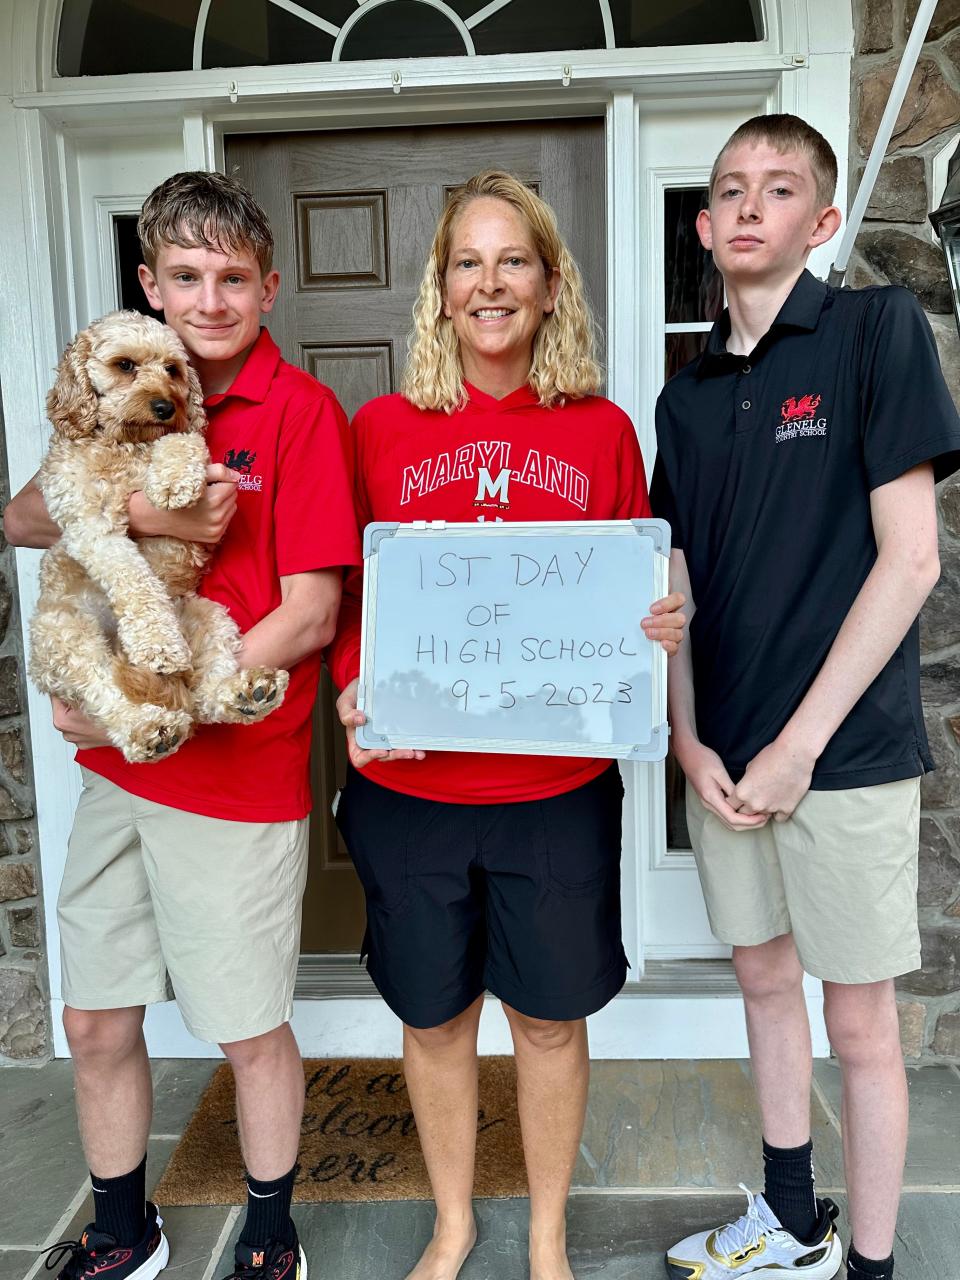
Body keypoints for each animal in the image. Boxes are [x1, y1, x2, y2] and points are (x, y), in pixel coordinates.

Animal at [28, 312, 288, 757]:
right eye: (125, 365)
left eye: (172, 369)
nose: (166, 407)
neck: (126, 444)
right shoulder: (90, 526)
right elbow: (135, 583)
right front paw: (157, 646)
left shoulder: (185, 443)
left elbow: (182, 441)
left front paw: (173, 480)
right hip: (62, 634)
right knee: (106, 693)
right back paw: (147, 729)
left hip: (208, 616)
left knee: (202, 698)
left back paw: (247, 692)